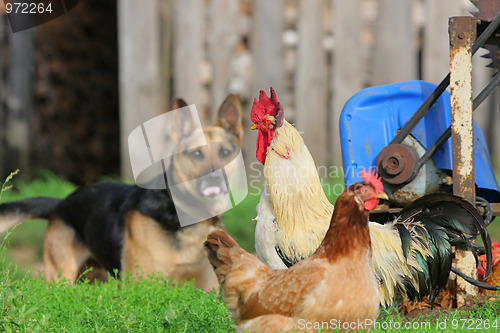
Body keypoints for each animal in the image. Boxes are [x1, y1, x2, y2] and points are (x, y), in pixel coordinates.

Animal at [0, 94, 244, 290]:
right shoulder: (143, 284)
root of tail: (62, 203)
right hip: (61, 277)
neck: (183, 211)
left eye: (225, 152)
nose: (214, 178)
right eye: (196, 154)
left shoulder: (197, 285)